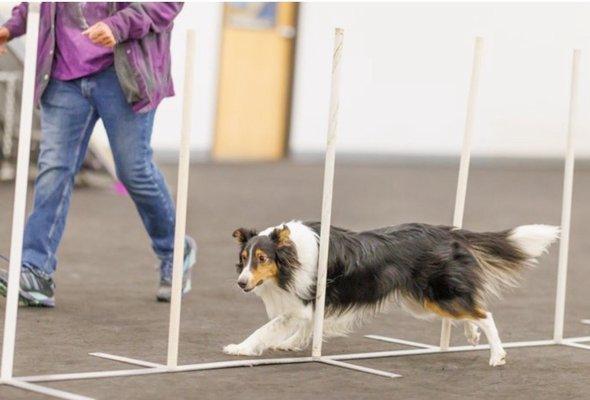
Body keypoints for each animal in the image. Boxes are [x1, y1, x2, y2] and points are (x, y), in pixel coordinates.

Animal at [225, 220, 560, 368]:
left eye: (262, 259)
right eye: (243, 258)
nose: (241, 283)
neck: (291, 255)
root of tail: (450, 232)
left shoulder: (302, 301)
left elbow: (267, 328)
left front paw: (240, 348)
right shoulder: (310, 306)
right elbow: (306, 325)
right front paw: (292, 343)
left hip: (435, 294)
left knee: (484, 314)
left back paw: (497, 354)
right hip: (424, 301)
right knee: (471, 311)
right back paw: (472, 335)